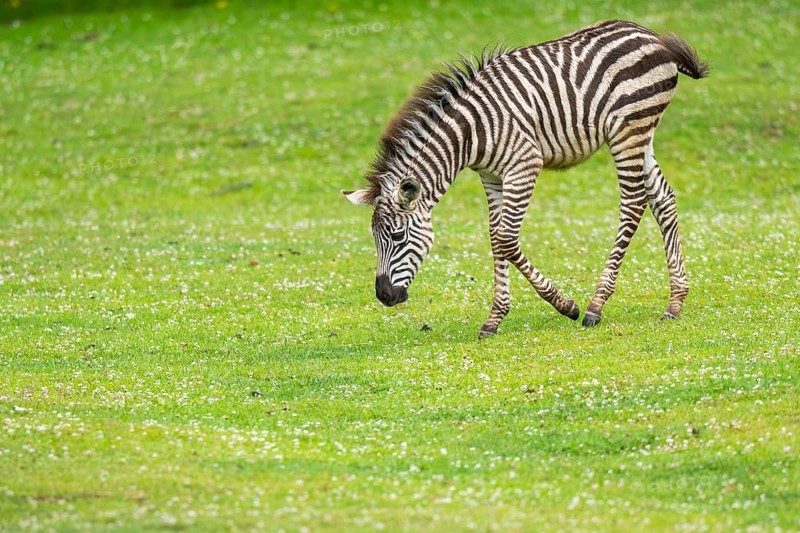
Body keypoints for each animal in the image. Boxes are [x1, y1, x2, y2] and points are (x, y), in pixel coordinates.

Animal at [342, 20, 708, 337]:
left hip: (628, 132)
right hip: (643, 136)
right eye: (375, 238)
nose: (384, 296)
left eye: (398, 236)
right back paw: (675, 302)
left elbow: (506, 240)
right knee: (662, 198)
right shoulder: (490, 176)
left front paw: (565, 305)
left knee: (633, 203)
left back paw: (596, 305)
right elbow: (495, 238)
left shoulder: (524, 165)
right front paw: (495, 318)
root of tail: (651, 36)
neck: (470, 135)